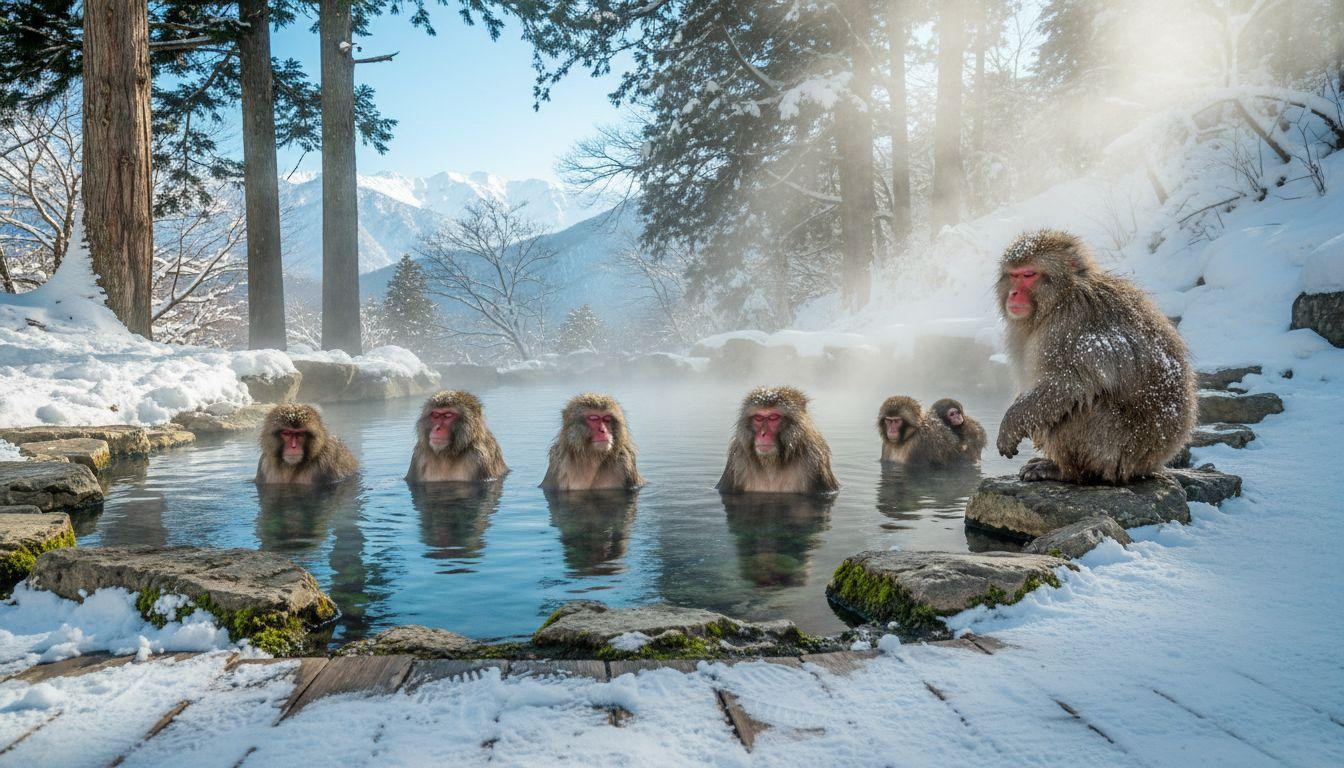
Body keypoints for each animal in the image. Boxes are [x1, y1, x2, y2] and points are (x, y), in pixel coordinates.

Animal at [995, 229, 1196, 484]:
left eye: (1029, 275)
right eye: (1013, 275)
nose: (1013, 293)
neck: (1063, 296)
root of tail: (1156, 461)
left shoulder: (1066, 325)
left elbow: (1067, 382)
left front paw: (1012, 421)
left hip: (1120, 449)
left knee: (1082, 403)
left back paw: (1064, 470)